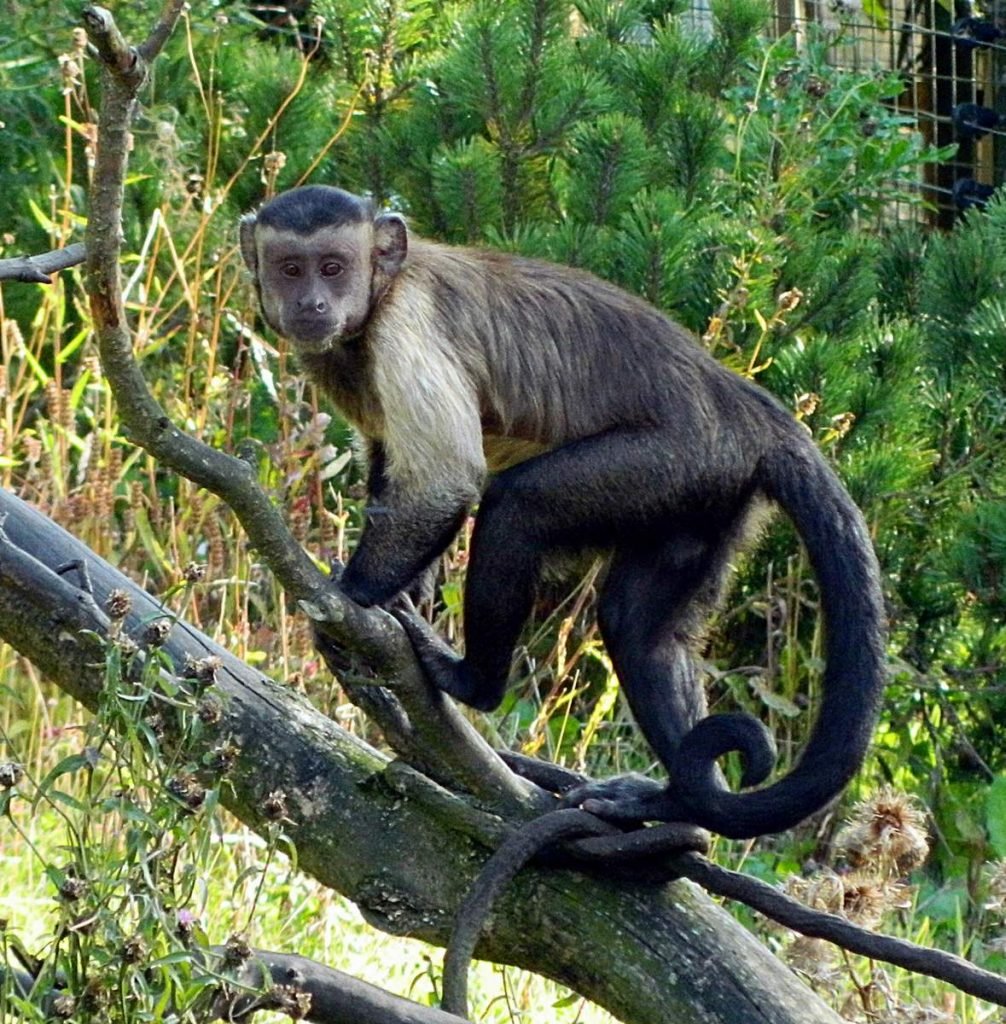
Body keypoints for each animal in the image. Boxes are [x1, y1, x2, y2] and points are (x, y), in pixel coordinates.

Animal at [239, 184, 885, 839]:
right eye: (290, 269)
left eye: (333, 267)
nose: (313, 301)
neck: (377, 300)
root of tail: (749, 409)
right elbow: (391, 464)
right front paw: (401, 593)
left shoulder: (407, 326)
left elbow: (448, 478)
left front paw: (353, 599)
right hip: (709, 493)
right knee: (638, 629)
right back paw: (676, 804)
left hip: (682, 455)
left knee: (518, 508)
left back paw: (474, 682)